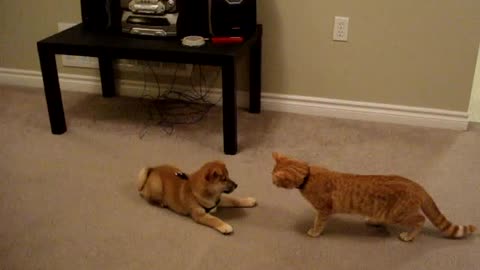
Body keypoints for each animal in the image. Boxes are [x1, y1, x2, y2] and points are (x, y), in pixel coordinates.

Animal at [270, 152, 476, 243]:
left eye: (273, 177)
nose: (271, 182)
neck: (308, 175)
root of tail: (416, 185)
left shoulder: (324, 209)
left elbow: (318, 223)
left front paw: (314, 232)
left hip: (399, 214)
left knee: (420, 219)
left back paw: (409, 236)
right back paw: (374, 220)